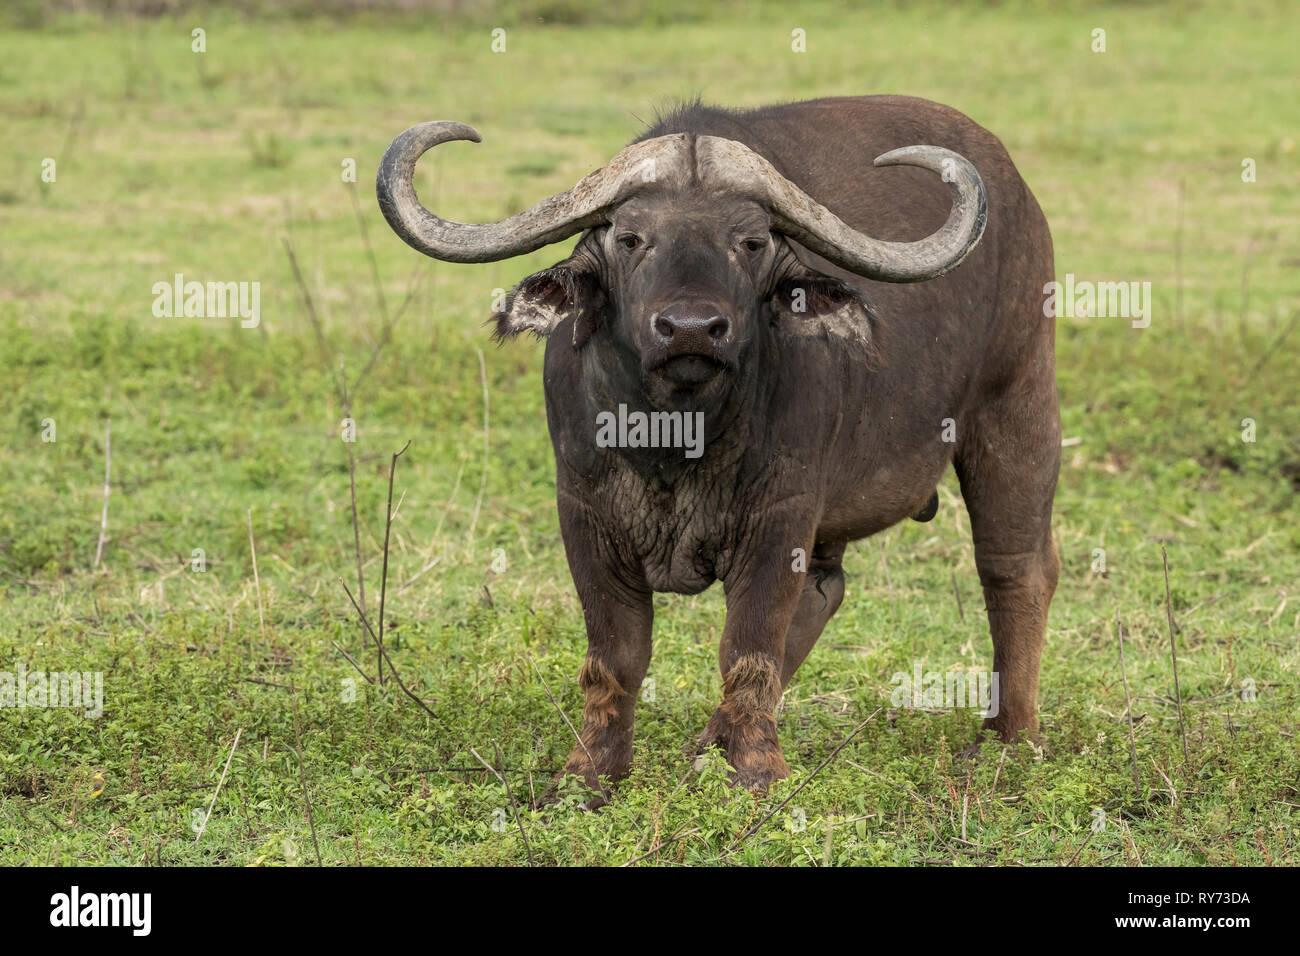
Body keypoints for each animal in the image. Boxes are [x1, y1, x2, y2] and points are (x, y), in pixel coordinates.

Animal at [377, 98, 1055, 801]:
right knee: (826, 590)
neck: (675, 437)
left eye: (750, 242)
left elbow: (749, 644)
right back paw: (707, 744)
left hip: (1017, 404)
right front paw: (591, 773)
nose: (691, 330)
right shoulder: (583, 513)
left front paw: (755, 771)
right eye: (631, 238)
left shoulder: (781, 515)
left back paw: (1011, 736)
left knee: (1015, 568)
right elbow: (615, 655)